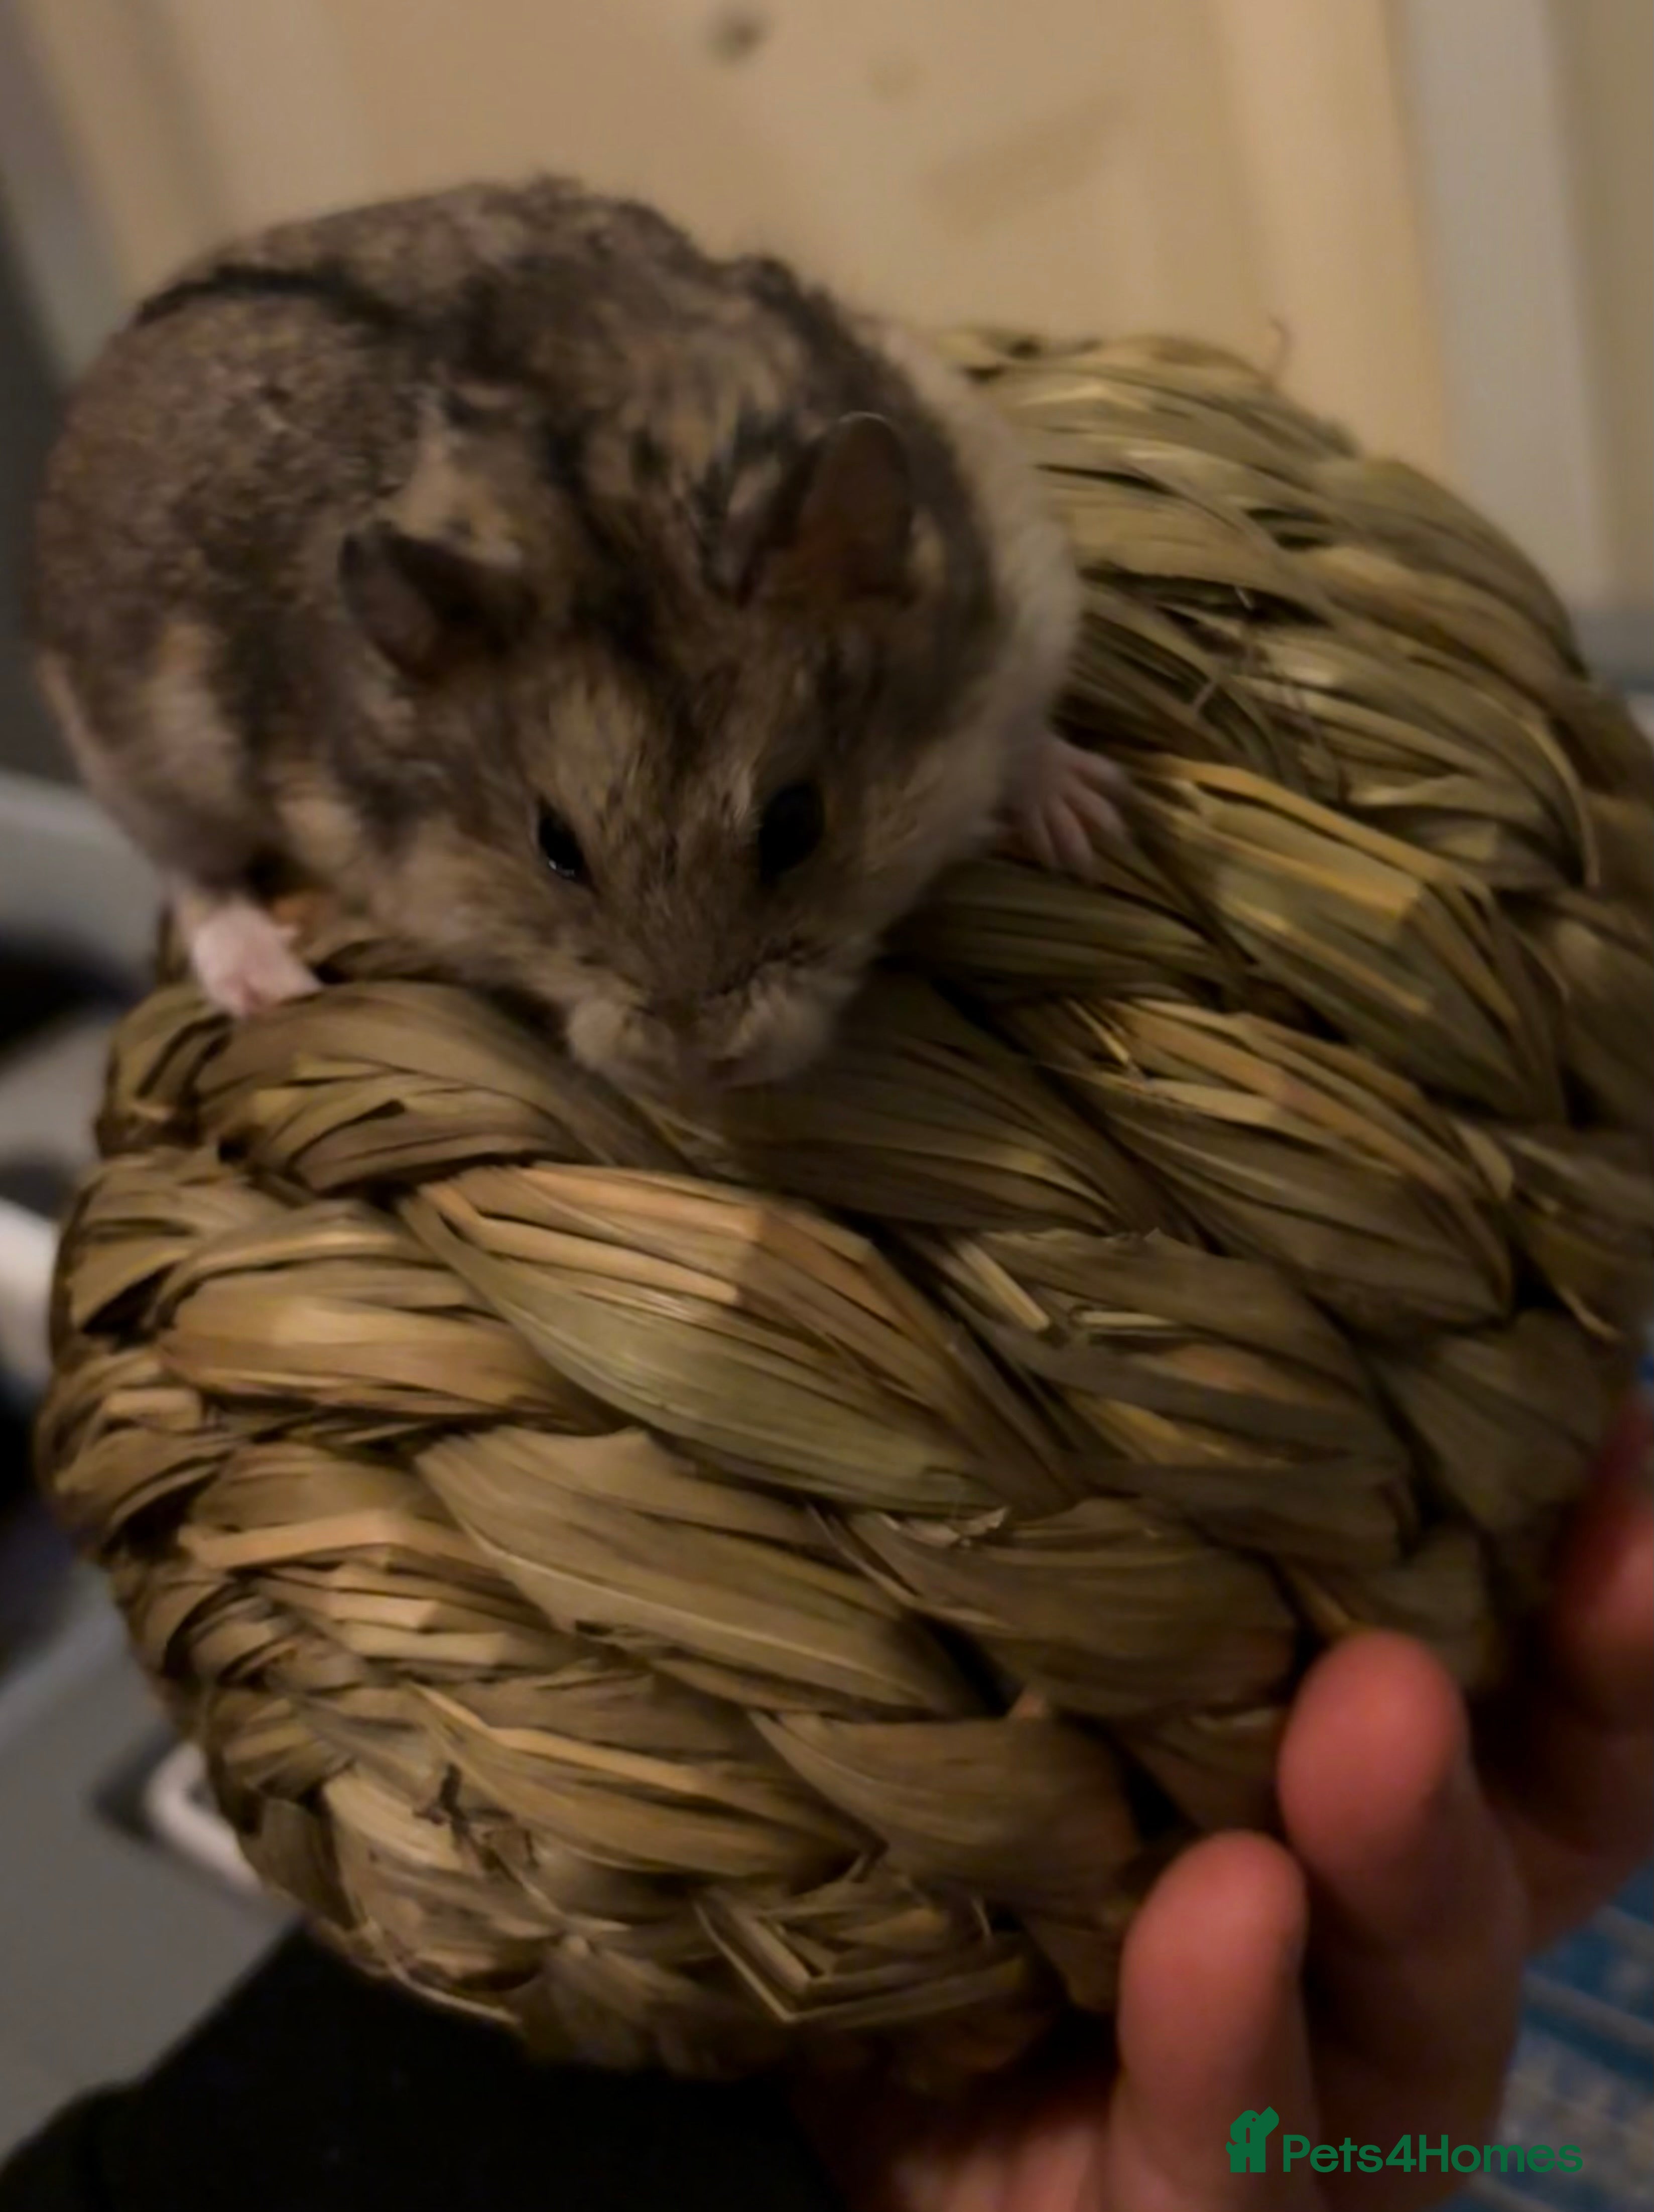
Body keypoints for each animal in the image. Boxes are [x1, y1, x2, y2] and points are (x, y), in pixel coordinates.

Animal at [28, 178, 1124, 1095]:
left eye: (797, 823)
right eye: (555, 847)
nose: (703, 1065)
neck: (611, 510)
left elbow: (1026, 736)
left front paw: (1093, 826)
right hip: (139, 758)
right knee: (193, 876)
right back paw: (271, 985)